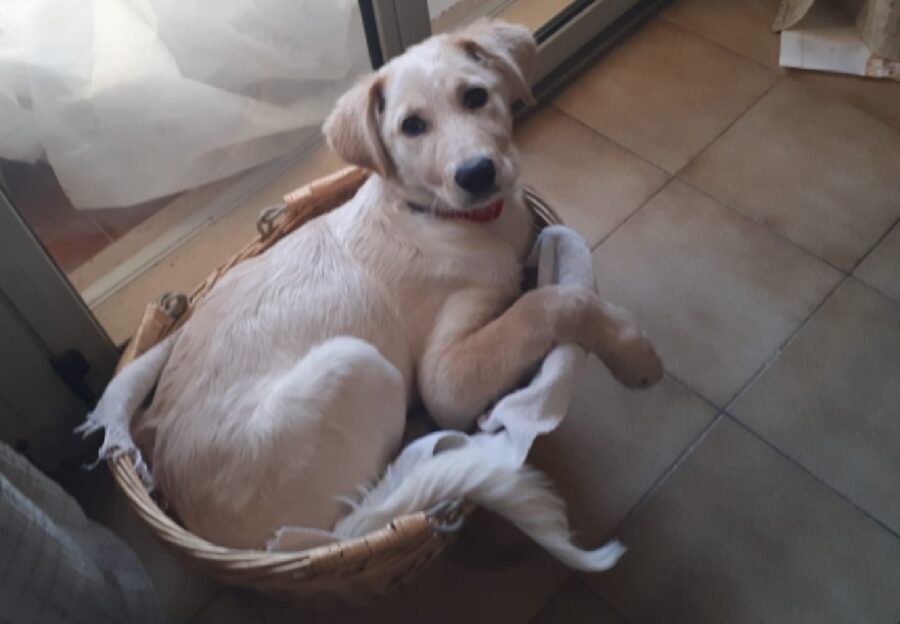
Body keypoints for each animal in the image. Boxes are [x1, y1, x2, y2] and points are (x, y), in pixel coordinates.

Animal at [91, 18, 664, 572]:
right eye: (412, 126)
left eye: (475, 96)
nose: (477, 174)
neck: (440, 217)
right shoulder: (445, 379)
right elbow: (550, 302)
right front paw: (634, 353)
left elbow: (533, 288)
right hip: (357, 362)